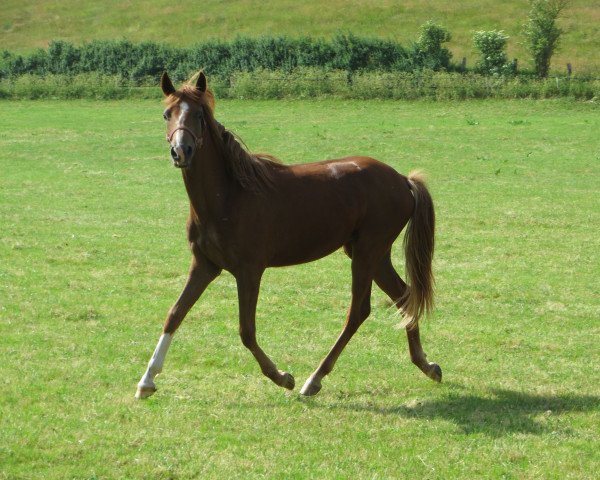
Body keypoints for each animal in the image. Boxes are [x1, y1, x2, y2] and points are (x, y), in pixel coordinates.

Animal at [135, 71, 440, 400]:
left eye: (200, 115)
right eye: (167, 114)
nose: (181, 152)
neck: (229, 196)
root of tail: (403, 180)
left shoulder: (249, 271)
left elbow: (246, 330)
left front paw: (282, 377)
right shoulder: (204, 266)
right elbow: (175, 314)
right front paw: (146, 380)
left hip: (366, 254)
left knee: (359, 311)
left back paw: (314, 379)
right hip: (374, 255)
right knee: (403, 295)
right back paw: (426, 365)